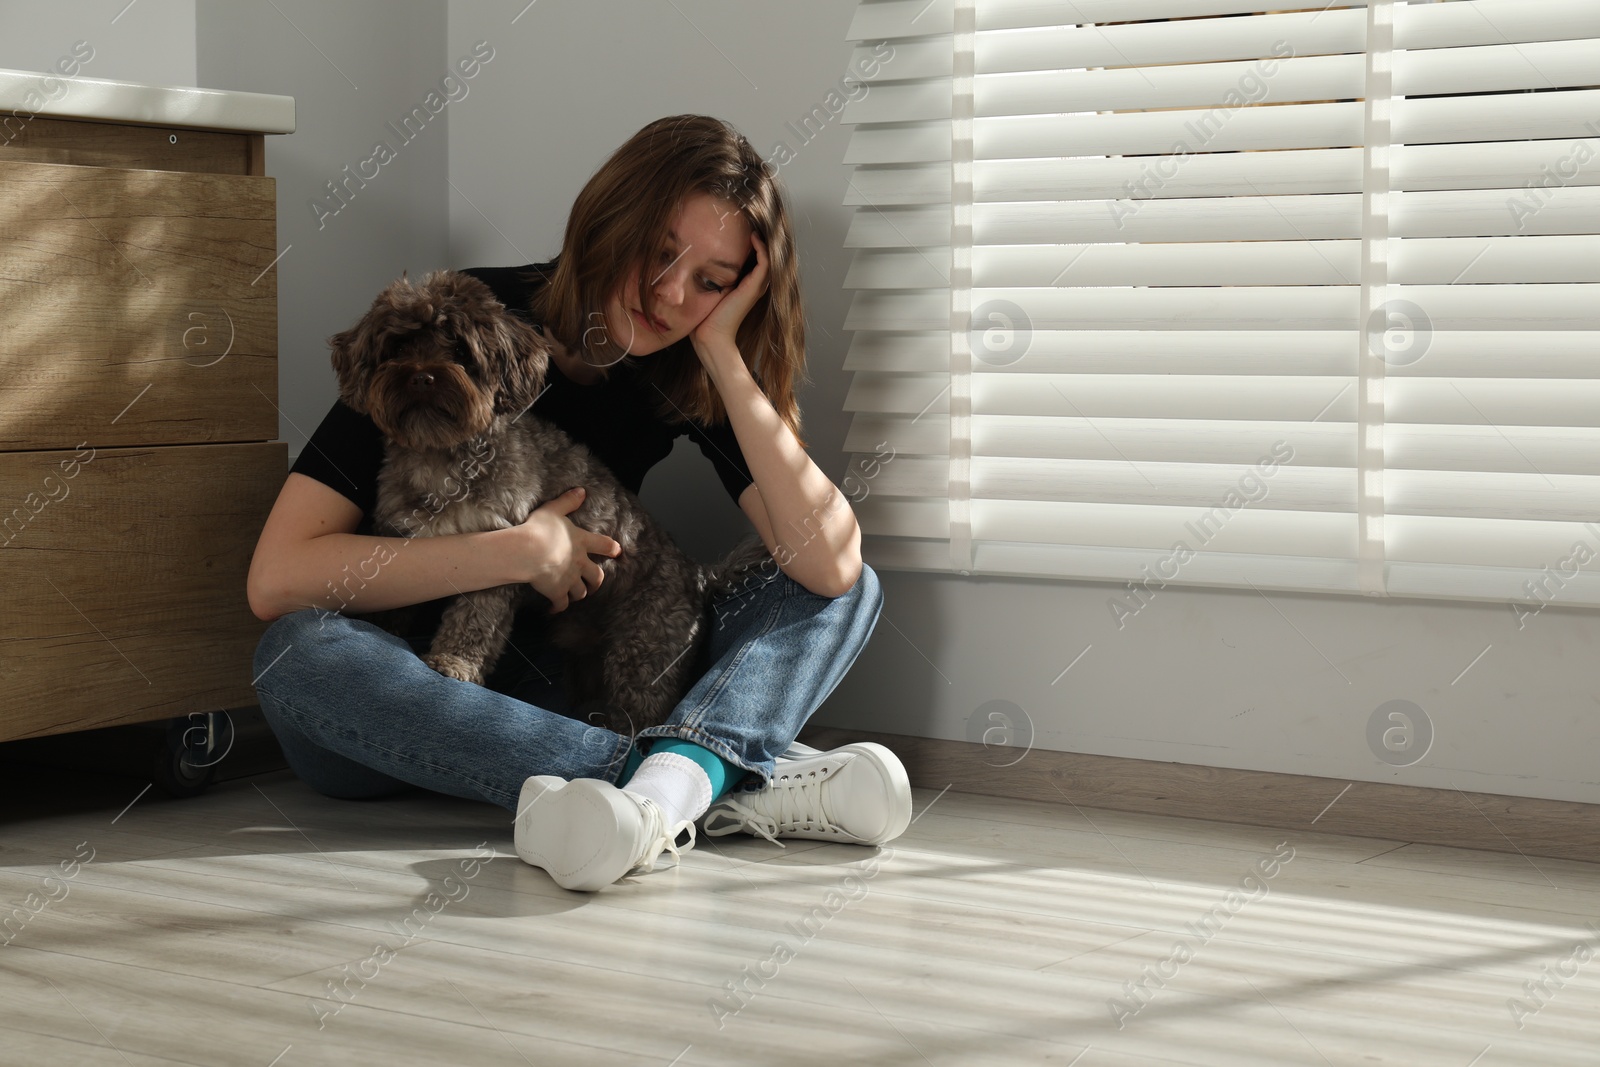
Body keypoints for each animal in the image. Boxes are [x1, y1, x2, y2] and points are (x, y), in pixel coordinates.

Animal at [329, 268, 768, 735]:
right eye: (398, 346)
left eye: (461, 350)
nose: (421, 376)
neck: (440, 454)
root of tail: (698, 575)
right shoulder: (398, 536)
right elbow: (395, 601)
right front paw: (377, 627)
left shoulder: (499, 554)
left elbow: (475, 619)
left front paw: (453, 662)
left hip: (644, 651)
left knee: (640, 716)